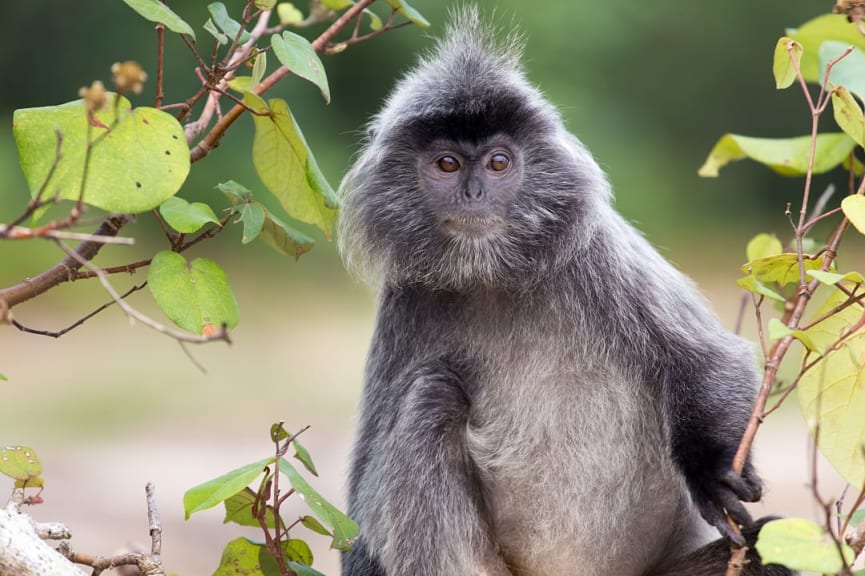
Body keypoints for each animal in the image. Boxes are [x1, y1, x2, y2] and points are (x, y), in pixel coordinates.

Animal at [334, 7, 792, 576]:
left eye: (498, 163)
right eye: (446, 165)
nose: (473, 194)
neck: (492, 275)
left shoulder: (595, 254)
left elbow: (707, 361)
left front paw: (711, 477)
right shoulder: (407, 298)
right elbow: (361, 503)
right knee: (431, 394)